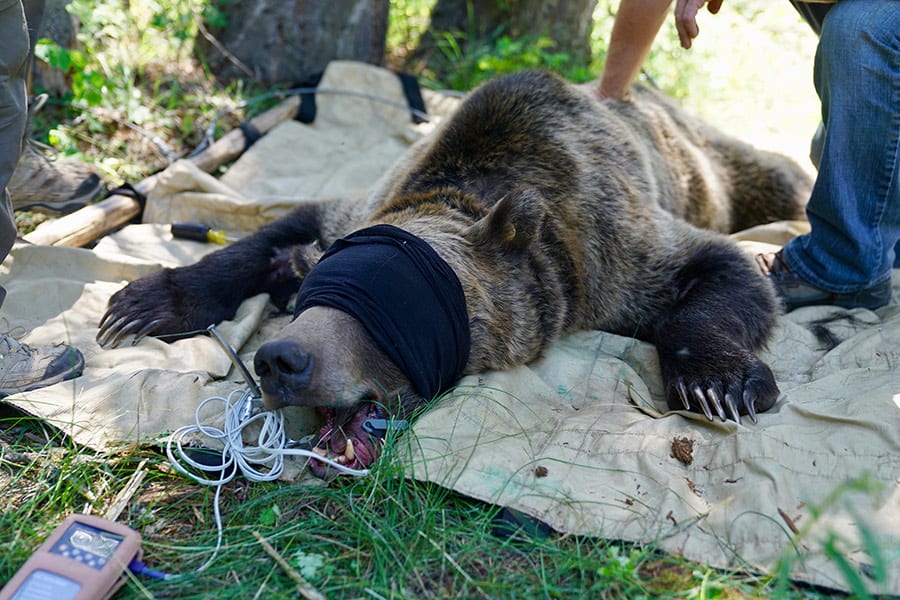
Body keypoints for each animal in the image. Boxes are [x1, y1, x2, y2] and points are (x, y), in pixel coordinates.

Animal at [97, 70, 811, 476]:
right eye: (314, 301)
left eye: (381, 311)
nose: (280, 360)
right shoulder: (363, 203)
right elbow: (274, 234)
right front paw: (142, 304)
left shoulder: (608, 249)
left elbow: (720, 270)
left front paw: (717, 383)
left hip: (716, 160)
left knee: (780, 178)